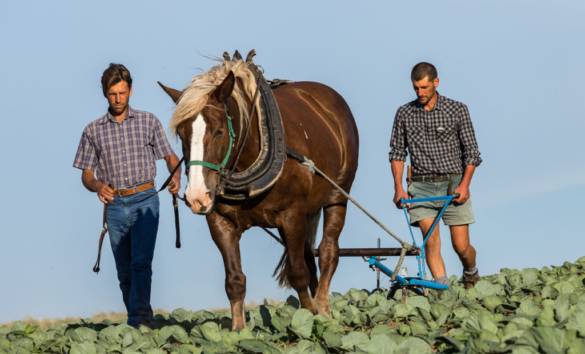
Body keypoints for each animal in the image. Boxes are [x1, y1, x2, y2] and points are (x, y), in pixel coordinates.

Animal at [161, 56, 360, 330]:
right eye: (181, 134)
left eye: (219, 131)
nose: (197, 197)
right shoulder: (220, 222)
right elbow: (235, 281)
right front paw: (238, 330)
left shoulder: (291, 215)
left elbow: (298, 273)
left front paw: (311, 317)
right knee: (309, 256)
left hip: (337, 195)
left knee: (328, 253)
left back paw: (324, 310)